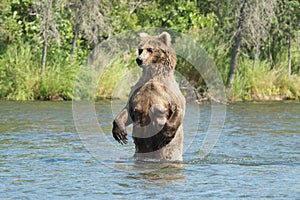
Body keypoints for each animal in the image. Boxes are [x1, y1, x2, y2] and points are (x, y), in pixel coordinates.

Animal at [111, 32, 184, 162]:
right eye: (140, 50)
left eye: (150, 49)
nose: (139, 60)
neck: (153, 75)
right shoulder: (137, 90)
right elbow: (127, 109)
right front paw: (120, 132)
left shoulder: (168, 92)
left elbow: (178, 109)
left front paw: (165, 135)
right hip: (140, 151)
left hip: (169, 152)